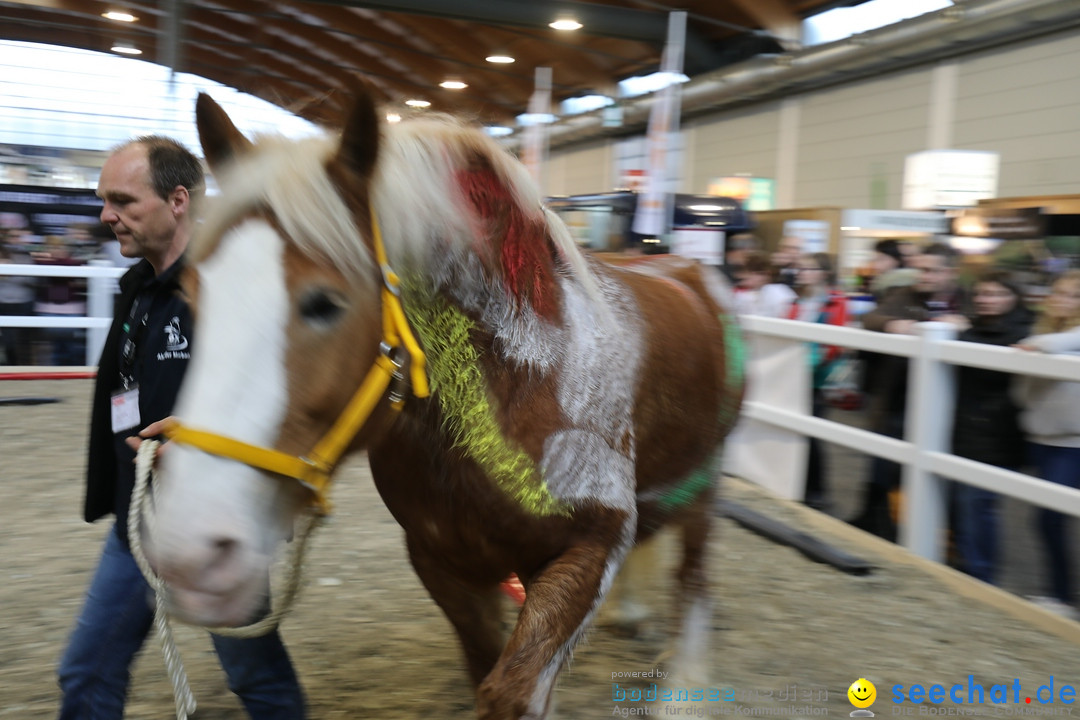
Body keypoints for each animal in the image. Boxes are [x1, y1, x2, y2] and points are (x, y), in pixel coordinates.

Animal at [145, 85, 743, 720]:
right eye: (192, 295)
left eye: (325, 302)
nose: (192, 557)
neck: (524, 380)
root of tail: (686, 265)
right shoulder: (446, 565)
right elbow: (484, 669)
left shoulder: (591, 547)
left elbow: (512, 693)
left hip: (705, 483)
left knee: (695, 575)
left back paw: (684, 690)